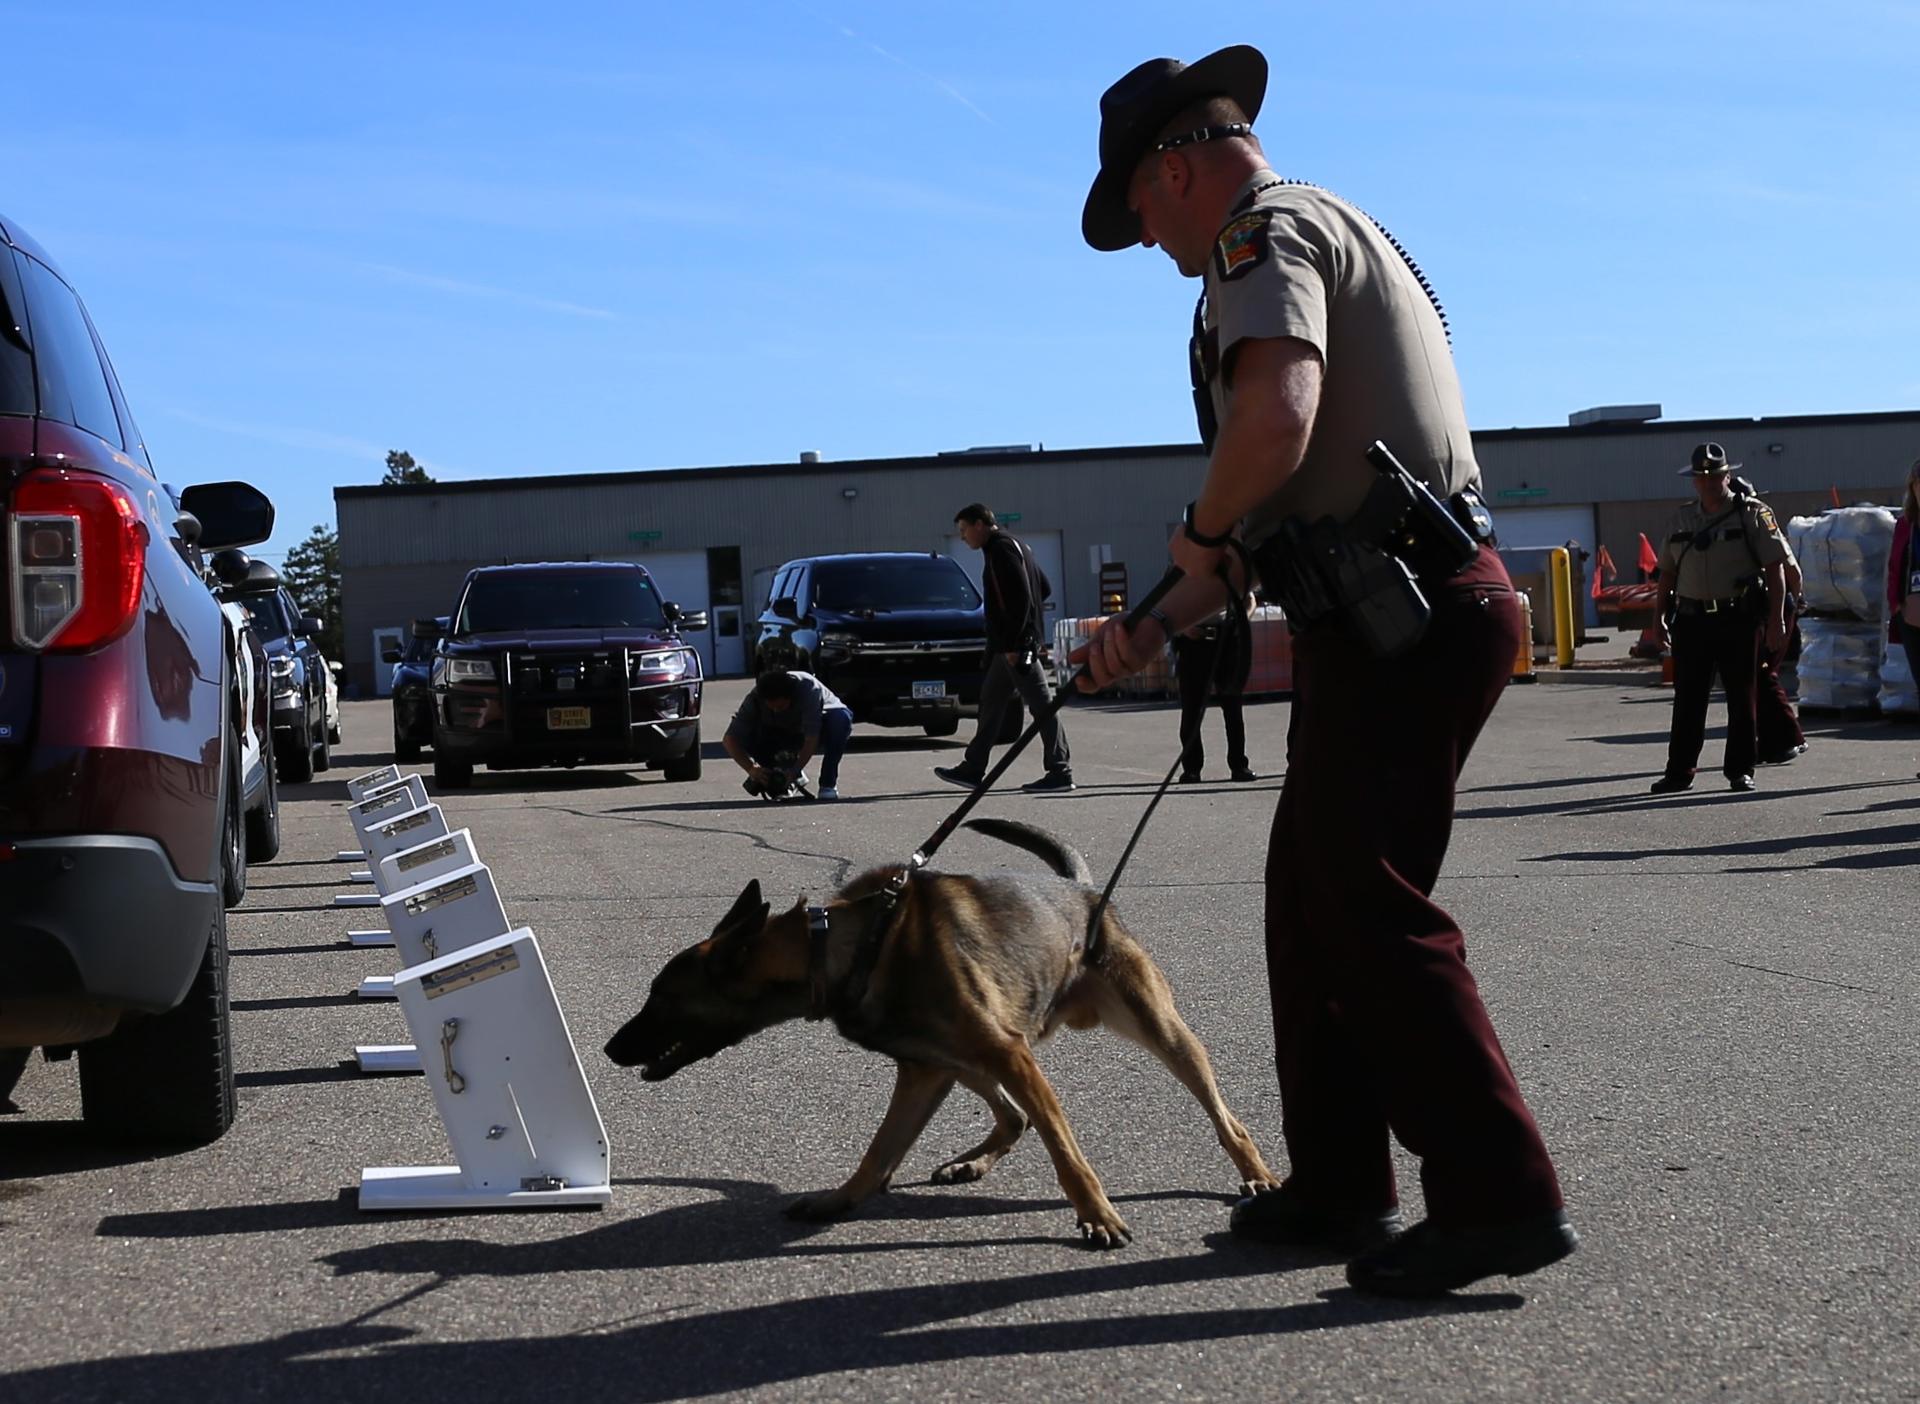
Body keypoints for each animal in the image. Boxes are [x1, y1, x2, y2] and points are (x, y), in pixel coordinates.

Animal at [606, 818, 1282, 1244]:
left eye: (661, 997)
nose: (610, 1048)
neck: (845, 948)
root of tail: (1082, 890)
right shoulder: (924, 1071)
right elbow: (879, 1152)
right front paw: (840, 1199)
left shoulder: (1008, 1056)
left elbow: (1066, 1152)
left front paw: (1096, 1215)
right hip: (959, 1062)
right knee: (1014, 1117)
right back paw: (971, 1163)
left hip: (1158, 1032)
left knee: (1225, 1119)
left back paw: (1258, 1176)